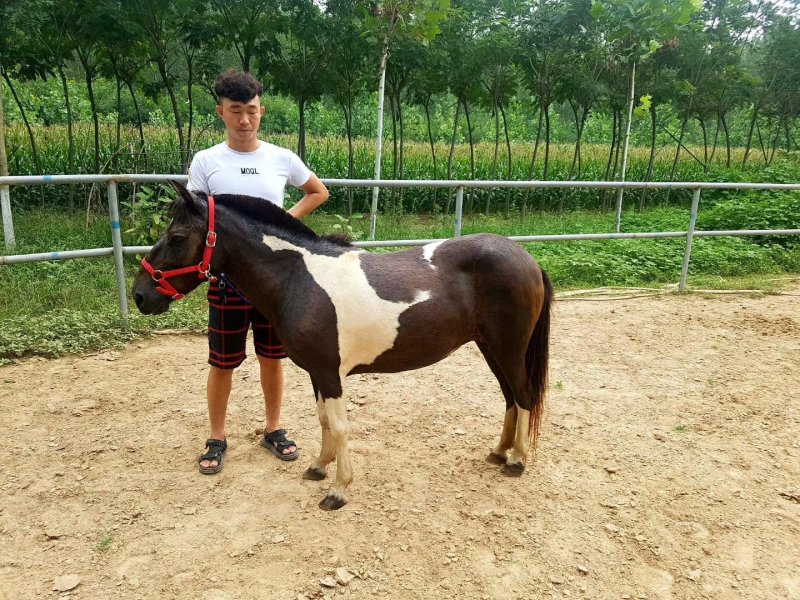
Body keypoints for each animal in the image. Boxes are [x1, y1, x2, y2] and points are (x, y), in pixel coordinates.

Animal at [132, 182, 553, 510]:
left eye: (177, 238)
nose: (139, 295)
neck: (299, 278)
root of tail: (527, 258)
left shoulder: (330, 373)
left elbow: (338, 425)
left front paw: (338, 490)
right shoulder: (317, 373)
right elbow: (323, 422)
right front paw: (318, 468)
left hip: (508, 348)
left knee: (523, 395)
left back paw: (518, 461)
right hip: (490, 347)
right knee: (510, 397)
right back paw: (499, 453)